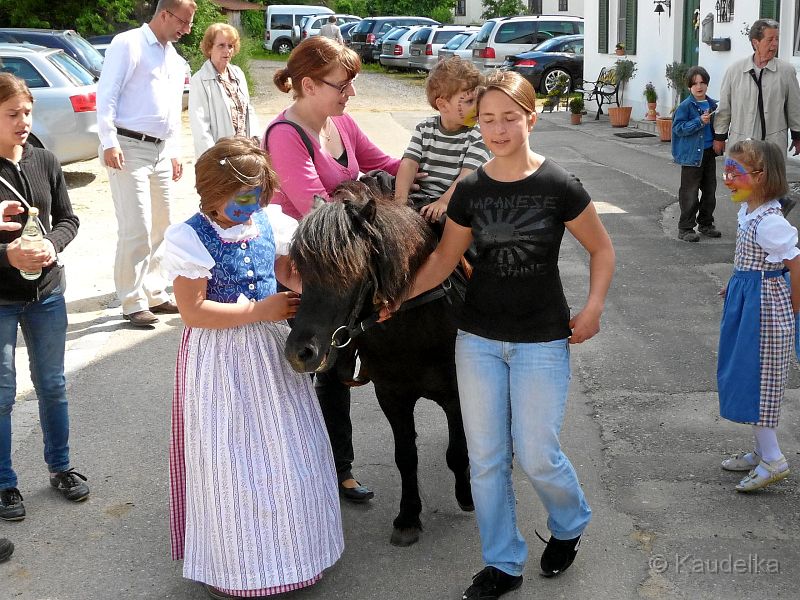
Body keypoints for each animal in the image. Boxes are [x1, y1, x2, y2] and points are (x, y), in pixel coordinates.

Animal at [286, 180, 472, 548]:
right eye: (302, 270)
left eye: (349, 270)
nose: (300, 352)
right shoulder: (392, 397)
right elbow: (406, 456)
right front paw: (408, 517)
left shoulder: (457, 394)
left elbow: (457, 450)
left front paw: (467, 494)